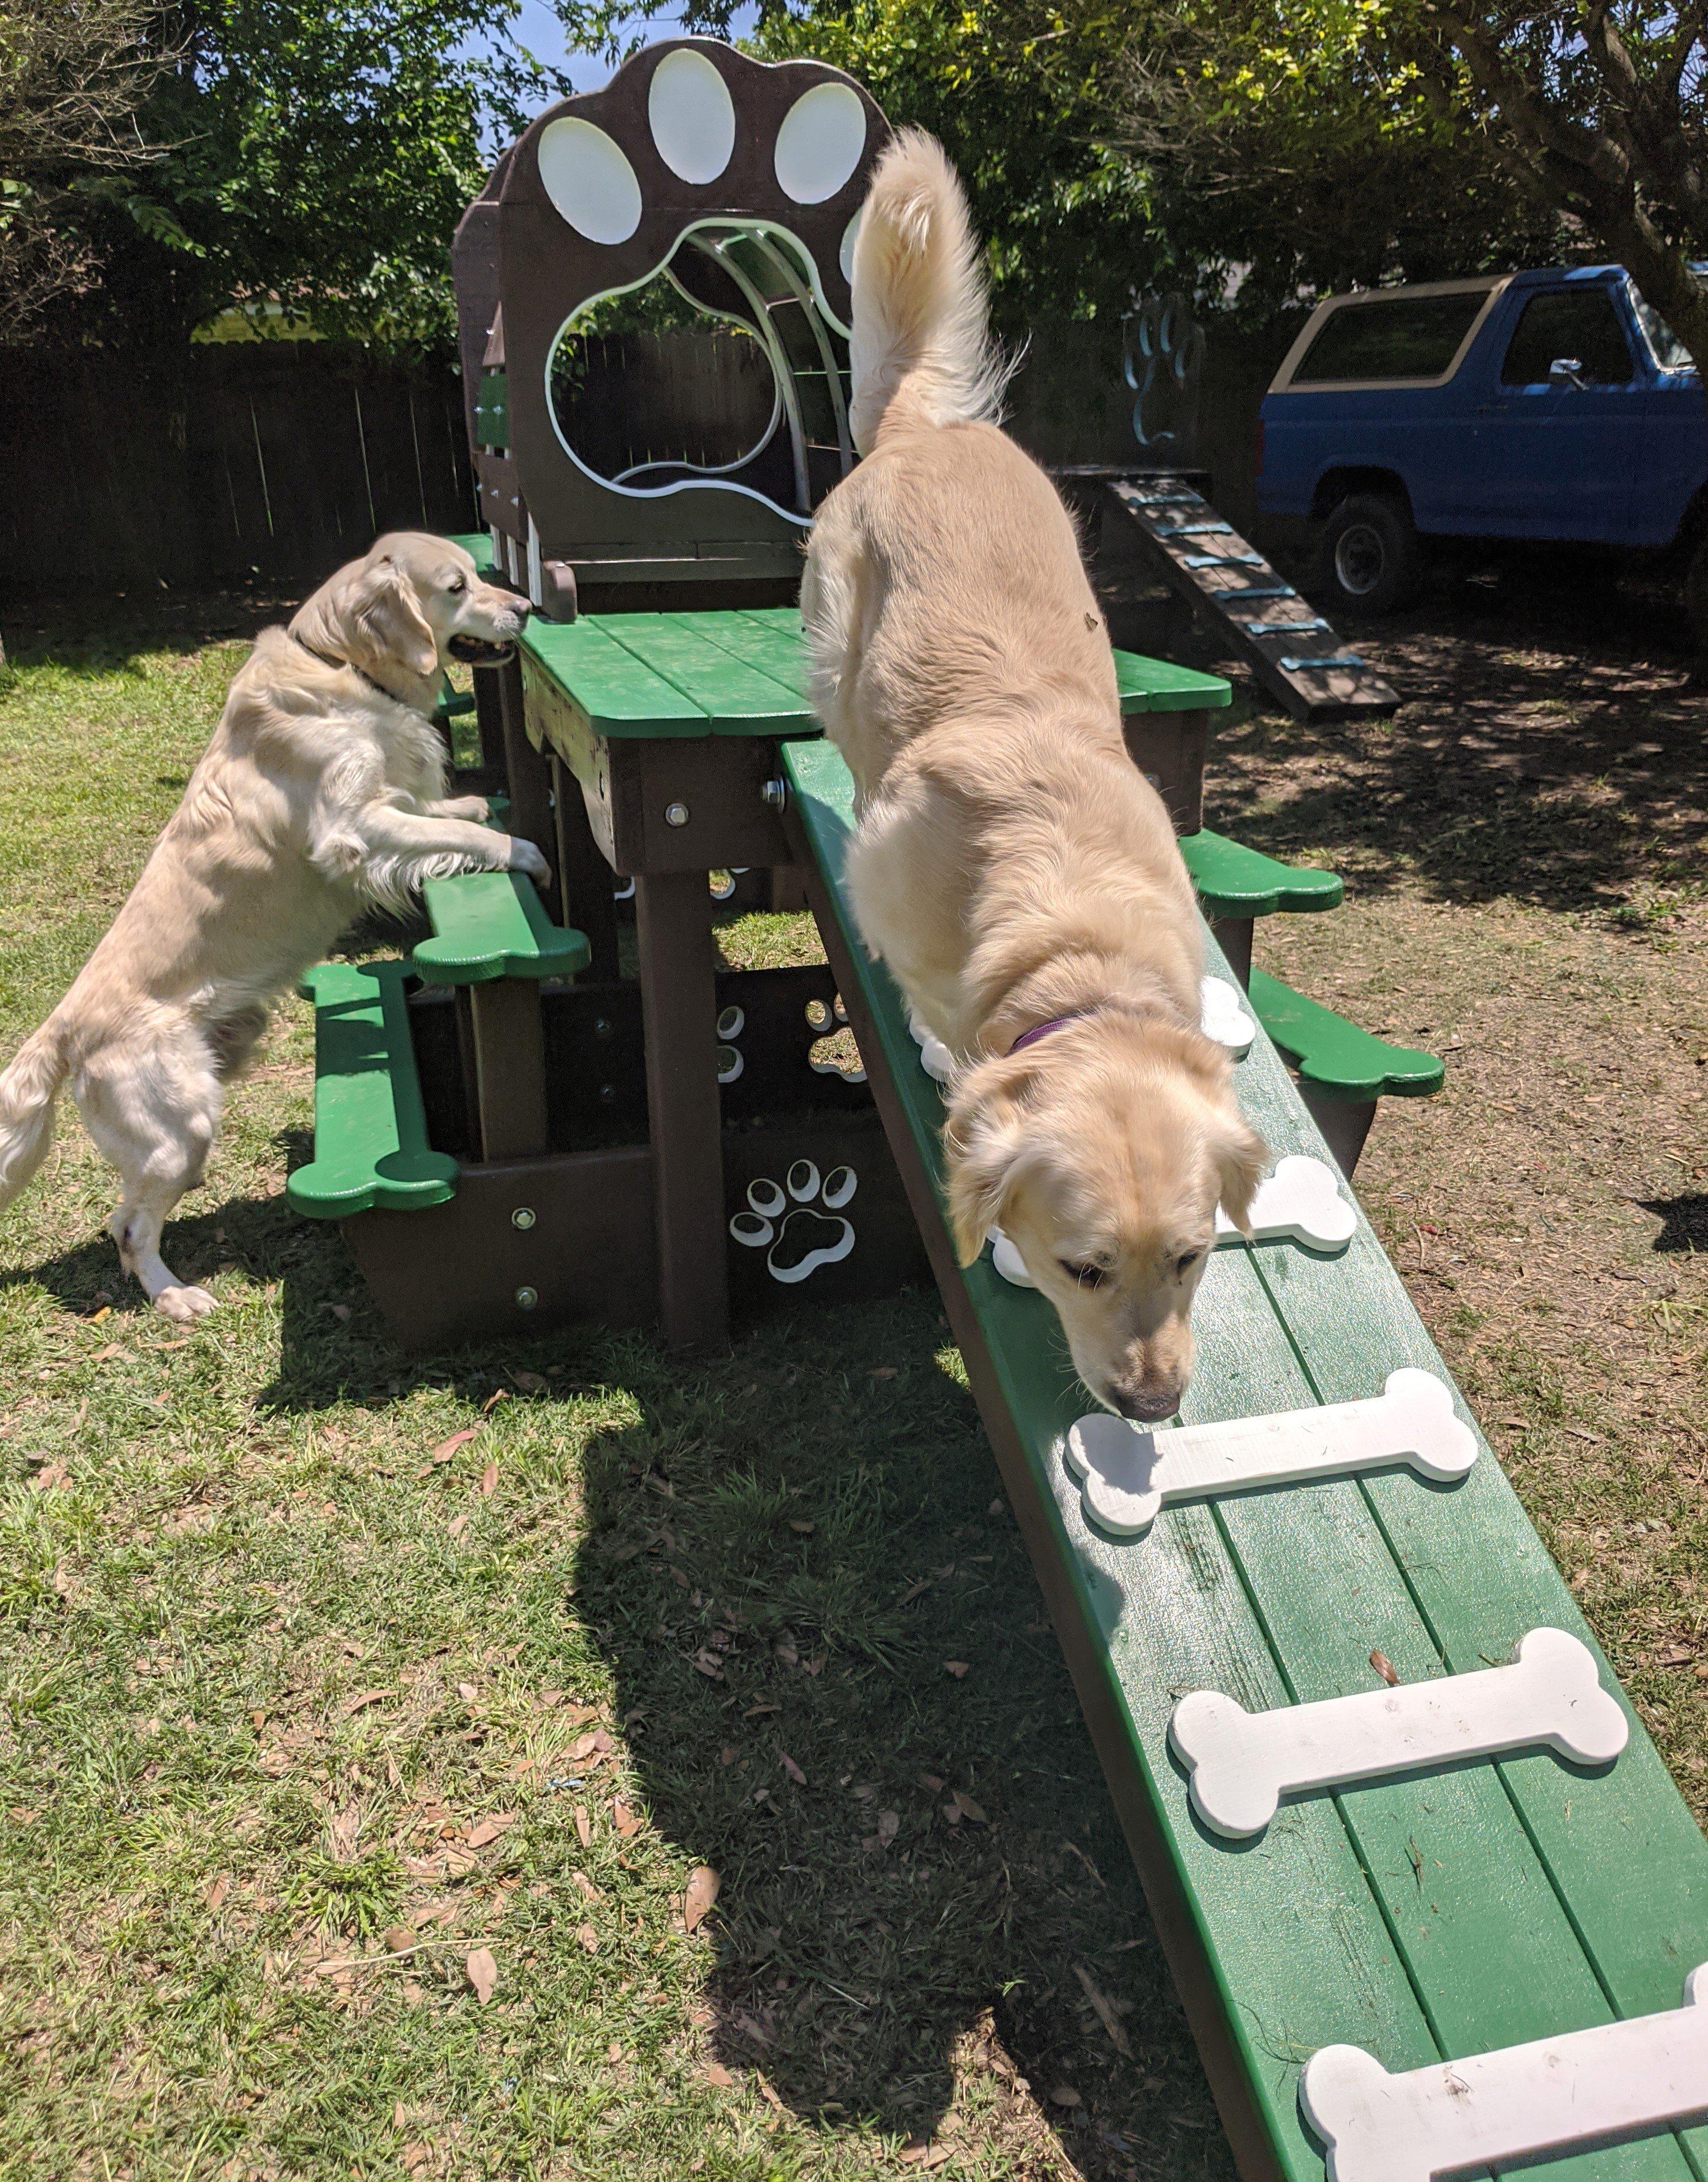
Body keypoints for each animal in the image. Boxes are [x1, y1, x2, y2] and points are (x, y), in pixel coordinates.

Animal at [0, 536, 545, 1318]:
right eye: (456, 586)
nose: (526, 607)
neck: (341, 666)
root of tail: (64, 1025)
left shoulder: (392, 800)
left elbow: (445, 815)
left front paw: (475, 808)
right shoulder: (353, 826)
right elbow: (455, 834)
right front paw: (522, 850)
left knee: (127, 1212)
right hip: (180, 1124)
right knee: (128, 1226)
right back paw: (176, 1297)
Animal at [798, 140, 1256, 1431]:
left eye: (1193, 1256)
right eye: (1080, 1268)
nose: (1151, 1404)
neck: (1074, 952)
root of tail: (924, 432)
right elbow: (944, 1030)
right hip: (837, 645)